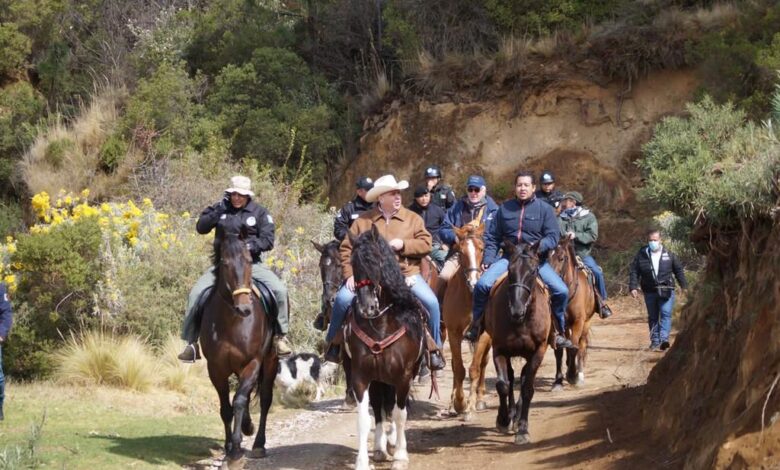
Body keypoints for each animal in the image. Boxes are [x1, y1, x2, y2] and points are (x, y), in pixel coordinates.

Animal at [201, 226, 278, 464]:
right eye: (224, 263)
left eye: (249, 261)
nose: (244, 308)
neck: (232, 322)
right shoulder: (216, 368)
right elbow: (226, 407)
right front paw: (228, 448)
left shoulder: (252, 363)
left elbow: (240, 401)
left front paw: (235, 451)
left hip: (270, 361)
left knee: (264, 399)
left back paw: (258, 444)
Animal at [344, 226, 424, 468]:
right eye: (353, 263)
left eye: (375, 261)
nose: (367, 307)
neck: (380, 325)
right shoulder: (360, 376)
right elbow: (364, 419)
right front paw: (362, 461)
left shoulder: (404, 376)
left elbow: (400, 414)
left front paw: (400, 455)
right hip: (378, 378)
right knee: (380, 409)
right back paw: (380, 447)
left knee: (392, 409)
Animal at [442, 226, 490, 416]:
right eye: (461, 251)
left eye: (482, 249)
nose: (474, 282)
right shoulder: (453, 333)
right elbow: (458, 368)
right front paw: (459, 403)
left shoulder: (483, 335)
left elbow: (475, 369)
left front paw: (470, 406)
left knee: (483, 364)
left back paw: (480, 399)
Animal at [472, 242, 552, 444]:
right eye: (510, 270)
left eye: (533, 271)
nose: (516, 310)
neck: (522, 320)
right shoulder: (500, 350)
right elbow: (503, 385)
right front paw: (503, 420)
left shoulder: (538, 351)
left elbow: (528, 388)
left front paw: (522, 429)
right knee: (511, 376)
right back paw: (510, 415)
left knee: (523, 378)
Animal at [544, 237, 600, 388]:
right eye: (546, 257)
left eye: (562, 258)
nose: (549, 283)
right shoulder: (557, 322)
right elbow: (559, 350)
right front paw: (559, 380)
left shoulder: (578, 321)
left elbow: (575, 347)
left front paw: (572, 375)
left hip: (586, 323)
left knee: (581, 345)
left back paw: (579, 374)